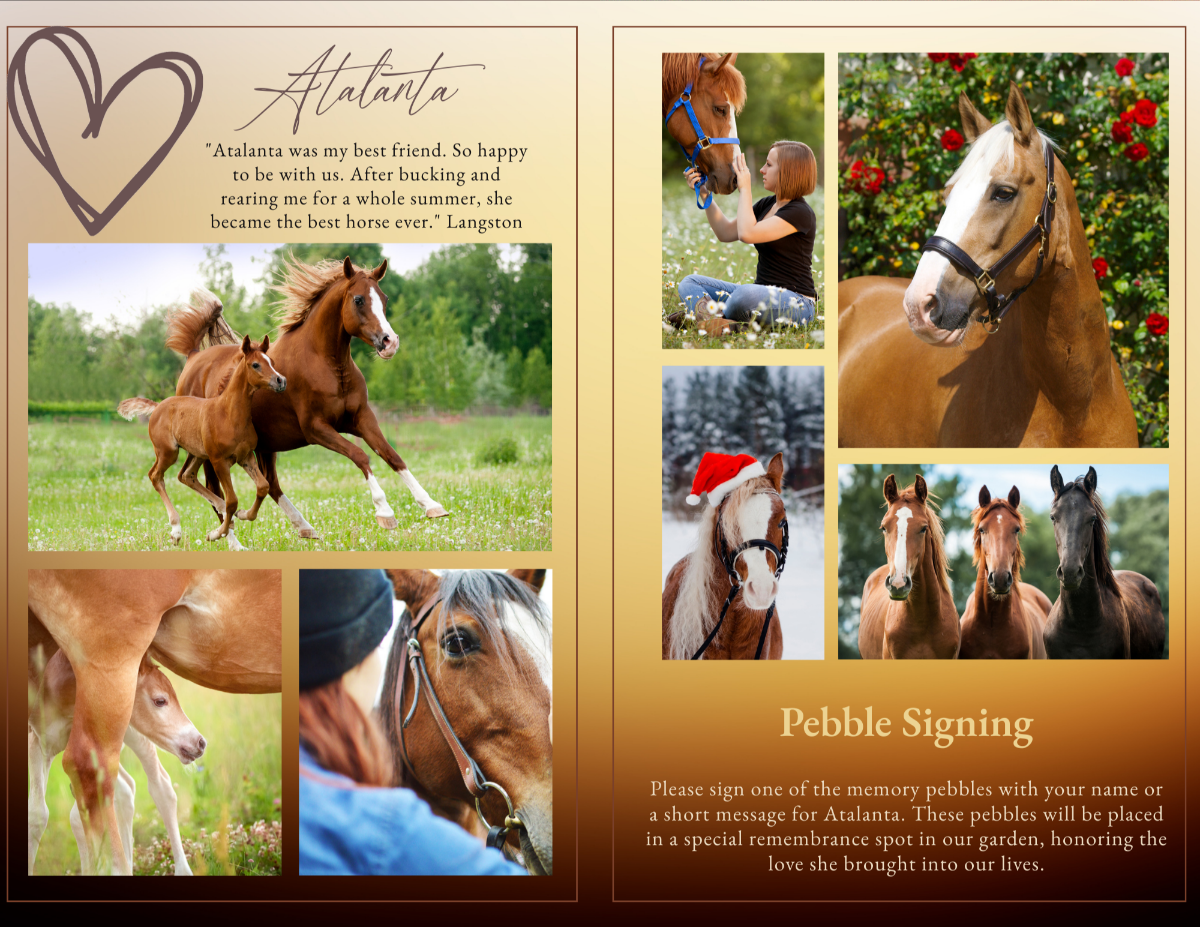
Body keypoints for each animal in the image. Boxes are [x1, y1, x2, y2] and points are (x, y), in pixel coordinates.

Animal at [29, 648, 203, 875]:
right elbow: (39, 815)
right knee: (124, 789)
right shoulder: (38, 742)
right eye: (160, 700)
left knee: (160, 786)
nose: (200, 742)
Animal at [118, 335, 286, 549]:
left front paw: (242, 514)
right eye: (255, 364)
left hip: (197, 453)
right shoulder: (219, 461)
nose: (281, 380)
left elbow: (262, 487)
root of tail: (158, 406)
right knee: (155, 475)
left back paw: (220, 511)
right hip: (168, 452)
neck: (229, 414)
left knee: (186, 475)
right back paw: (176, 530)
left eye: (271, 361)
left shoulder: (245, 457)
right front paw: (216, 534)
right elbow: (232, 500)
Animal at [169, 260, 447, 541]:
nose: (390, 342)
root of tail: (193, 357)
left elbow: (392, 455)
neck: (326, 364)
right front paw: (385, 512)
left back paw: (303, 526)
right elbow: (360, 456)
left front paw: (432, 505)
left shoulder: (361, 418)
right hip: (211, 452)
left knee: (270, 484)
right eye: (358, 299)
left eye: (385, 298)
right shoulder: (316, 428)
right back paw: (231, 540)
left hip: (265, 445)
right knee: (215, 490)